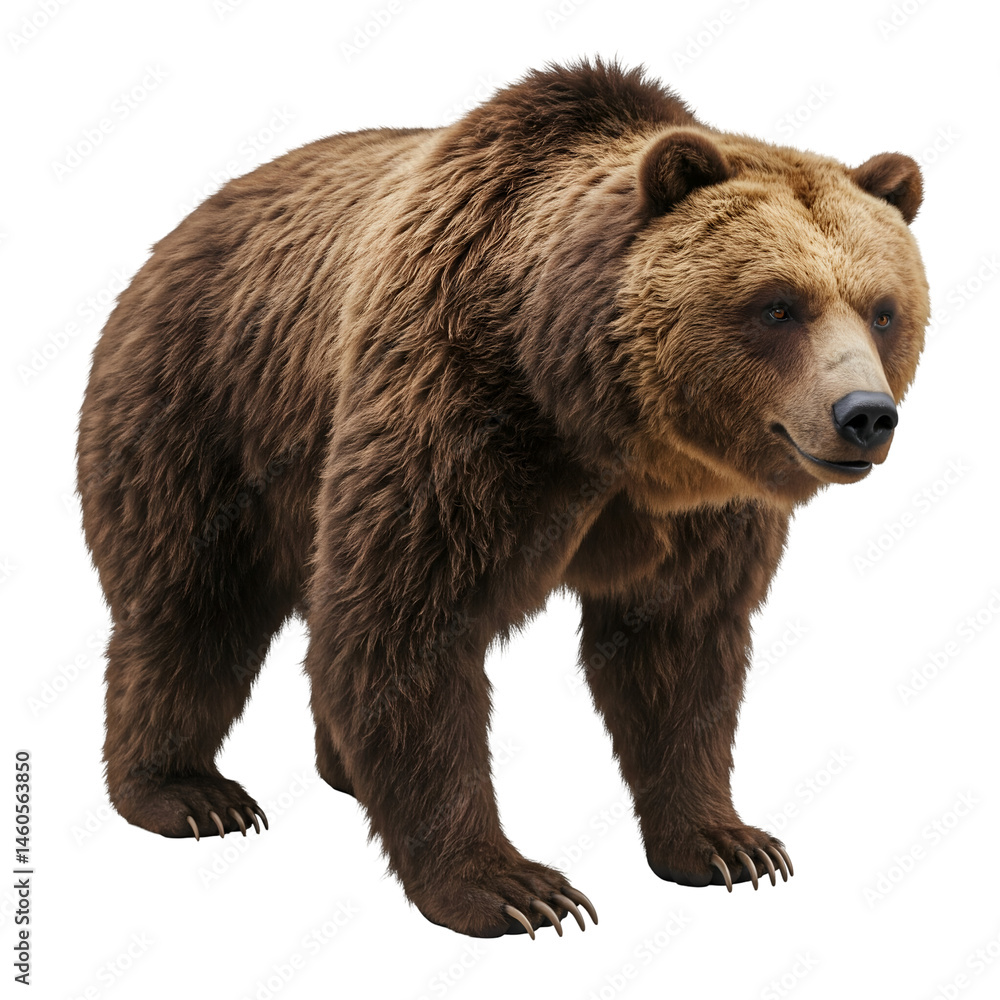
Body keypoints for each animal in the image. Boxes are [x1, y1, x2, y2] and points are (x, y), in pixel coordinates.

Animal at [77, 59, 928, 939]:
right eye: (778, 304)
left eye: (883, 309)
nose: (865, 415)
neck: (599, 417)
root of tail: (186, 223)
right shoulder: (457, 411)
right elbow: (406, 625)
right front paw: (515, 888)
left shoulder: (701, 506)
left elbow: (679, 649)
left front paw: (729, 845)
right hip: (206, 404)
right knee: (193, 604)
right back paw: (187, 792)